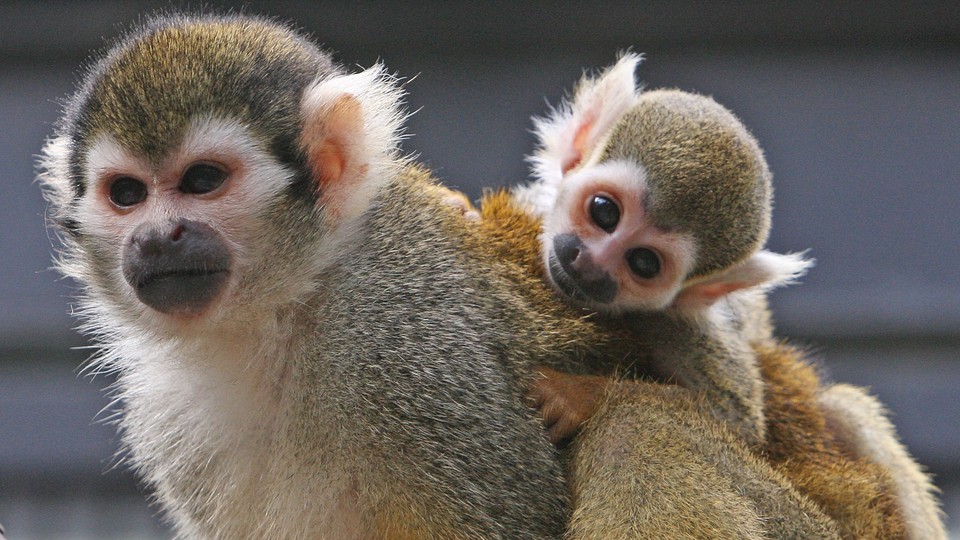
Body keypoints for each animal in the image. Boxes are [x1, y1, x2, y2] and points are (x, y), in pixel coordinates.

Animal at [40, 12, 855, 539]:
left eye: (203, 180)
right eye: (127, 194)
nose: (159, 235)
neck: (284, 312)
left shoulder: (410, 350)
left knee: (643, 429)